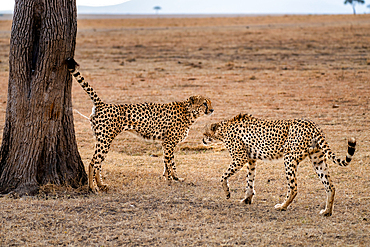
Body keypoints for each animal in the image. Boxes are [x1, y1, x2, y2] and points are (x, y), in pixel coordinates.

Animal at [65, 58, 212, 193]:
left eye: (210, 102)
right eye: (204, 103)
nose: (212, 110)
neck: (189, 112)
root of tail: (103, 104)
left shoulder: (165, 143)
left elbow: (167, 162)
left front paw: (170, 177)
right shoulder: (169, 143)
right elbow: (171, 162)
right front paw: (171, 179)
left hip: (101, 139)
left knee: (99, 164)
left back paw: (101, 185)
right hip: (105, 140)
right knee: (93, 163)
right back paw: (93, 187)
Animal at [202, 114, 356, 216]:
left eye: (204, 133)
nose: (202, 139)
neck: (223, 129)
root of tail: (312, 124)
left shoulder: (240, 158)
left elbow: (223, 177)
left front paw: (227, 193)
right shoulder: (251, 159)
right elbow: (249, 180)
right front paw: (247, 198)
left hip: (289, 158)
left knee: (293, 188)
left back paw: (282, 206)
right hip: (317, 160)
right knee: (330, 186)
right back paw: (327, 211)